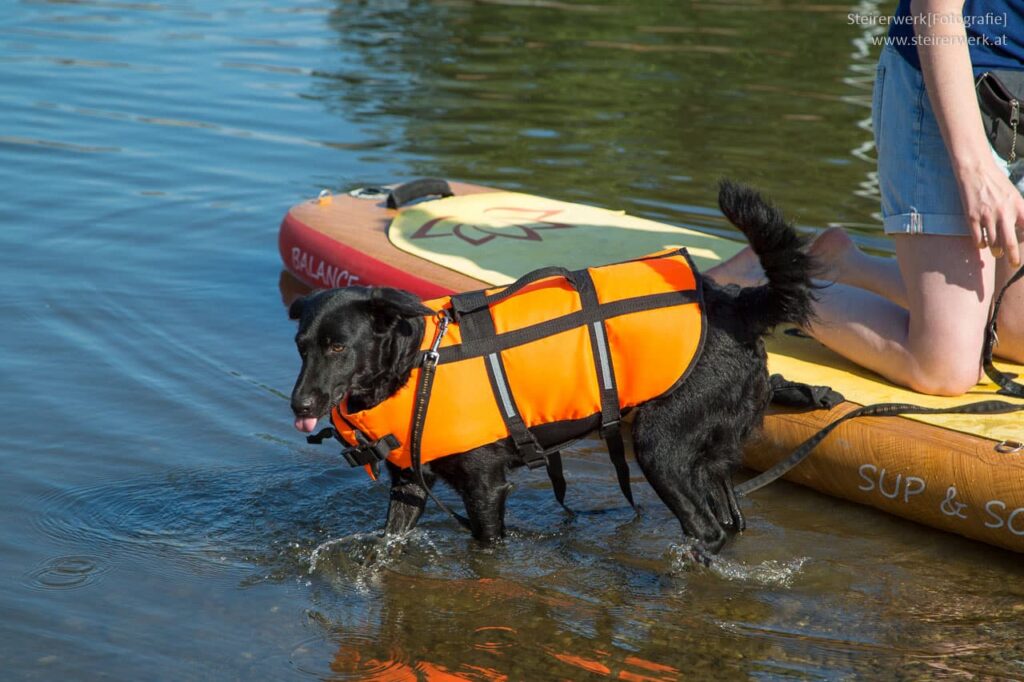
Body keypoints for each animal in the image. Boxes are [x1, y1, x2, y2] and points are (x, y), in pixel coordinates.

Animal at [290, 183, 815, 557]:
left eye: (338, 347)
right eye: (301, 347)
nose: (300, 404)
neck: (420, 359)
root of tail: (738, 305)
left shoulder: (485, 487)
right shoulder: (410, 486)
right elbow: (387, 545)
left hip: (661, 445)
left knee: (707, 531)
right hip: (710, 455)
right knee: (731, 521)